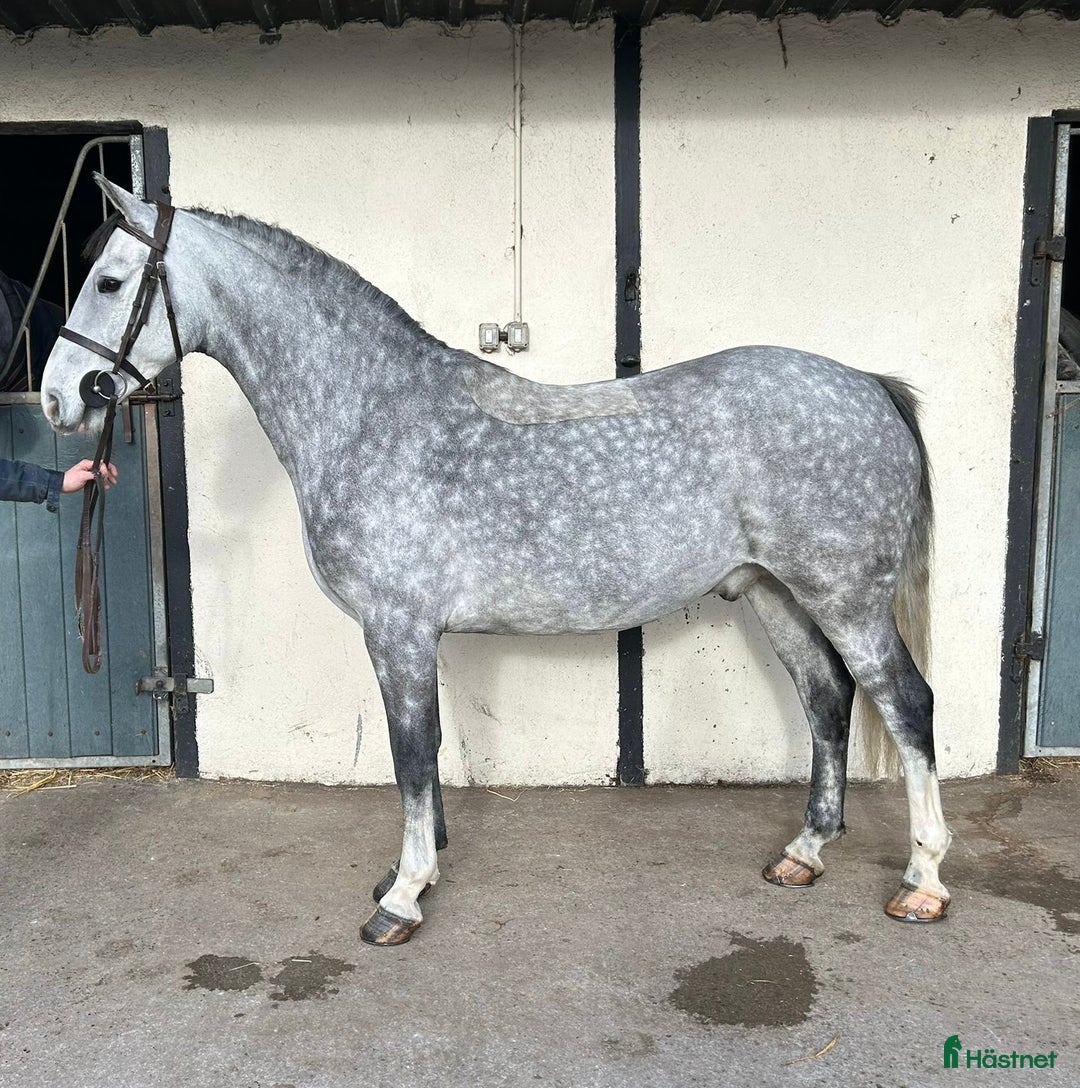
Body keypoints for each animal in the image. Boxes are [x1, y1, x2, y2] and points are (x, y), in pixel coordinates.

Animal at [41, 175, 952, 946]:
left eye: (111, 282)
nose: (57, 398)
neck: (372, 415)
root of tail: (867, 384)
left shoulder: (396, 628)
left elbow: (411, 751)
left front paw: (403, 898)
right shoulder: (412, 634)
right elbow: (426, 748)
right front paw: (413, 871)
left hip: (846, 598)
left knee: (907, 703)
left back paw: (923, 882)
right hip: (775, 591)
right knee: (828, 699)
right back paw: (805, 853)